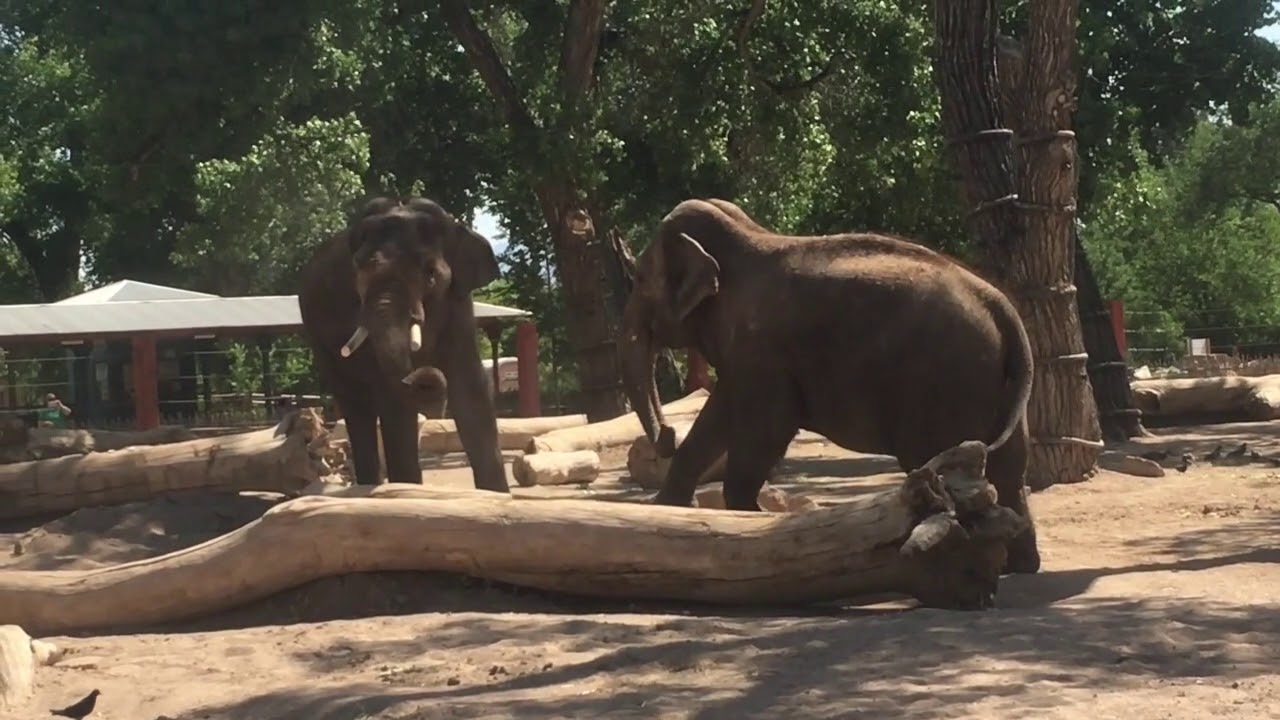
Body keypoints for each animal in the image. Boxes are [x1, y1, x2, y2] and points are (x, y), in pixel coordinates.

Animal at [297, 196, 509, 493]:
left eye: (430, 276)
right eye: (358, 273)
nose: (427, 380)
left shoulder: (458, 303)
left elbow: (471, 389)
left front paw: (496, 496)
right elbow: (394, 401)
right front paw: (407, 492)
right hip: (317, 339)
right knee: (355, 404)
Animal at [620, 198, 1040, 575]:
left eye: (638, 279)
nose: (666, 436)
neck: (745, 235)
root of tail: (1001, 308)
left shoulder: (762, 352)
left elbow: (766, 428)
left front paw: (752, 522)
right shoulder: (747, 358)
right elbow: (718, 417)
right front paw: (666, 512)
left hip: (945, 381)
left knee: (940, 458)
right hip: (992, 382)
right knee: (1010, 467)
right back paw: (1017, 565)